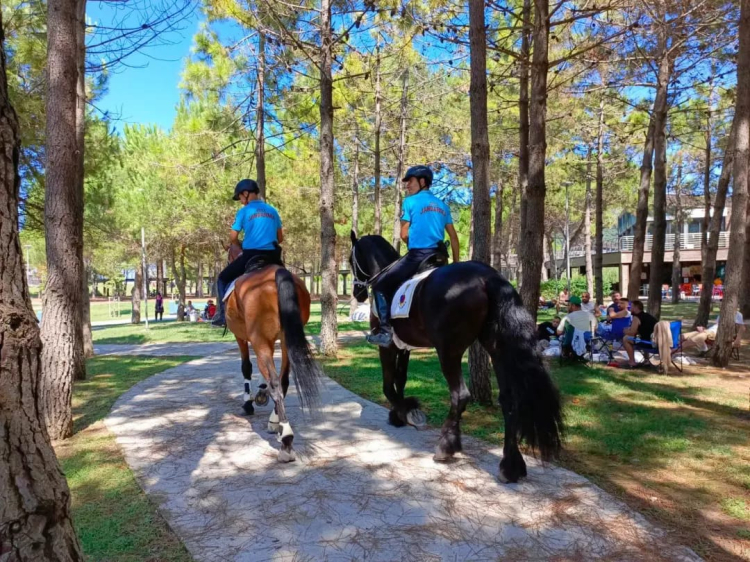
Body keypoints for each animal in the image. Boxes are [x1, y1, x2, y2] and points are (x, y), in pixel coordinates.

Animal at [220, 243, 320, 462]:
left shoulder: (241, 337)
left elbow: (246, 367)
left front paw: (248, 403)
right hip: (286, 340)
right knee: (283, 380)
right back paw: (277, 423)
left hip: (261, 341)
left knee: (275, 382)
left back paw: (286, 440)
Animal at [352, 231, 564, 482]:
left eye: (352, 259)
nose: (357, 293)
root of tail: (488, 277)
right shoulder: (404, 347)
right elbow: (400, 380)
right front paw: (400, 413)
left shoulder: (388, 346)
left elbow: (388, 385)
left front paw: (407, 413)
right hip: (497, 349)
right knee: (508, 399)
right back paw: (511, 465)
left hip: (448, 350)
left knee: (460, 395)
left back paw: (446, 447)